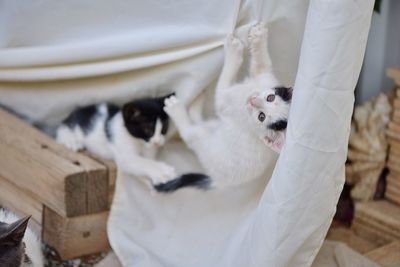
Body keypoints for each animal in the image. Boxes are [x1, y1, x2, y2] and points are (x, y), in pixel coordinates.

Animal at [155, 21, 290, 193]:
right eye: (270, 97)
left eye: (262, 116)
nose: (252, 100)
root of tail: (220, 182)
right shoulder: (265, 78)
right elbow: (262, 64)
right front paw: (259, 38)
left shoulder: (225, 101)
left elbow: (224, 80)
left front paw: (232, 51)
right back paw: (196, 105)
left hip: (204, 142)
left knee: (189, 133)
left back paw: (176, 109)